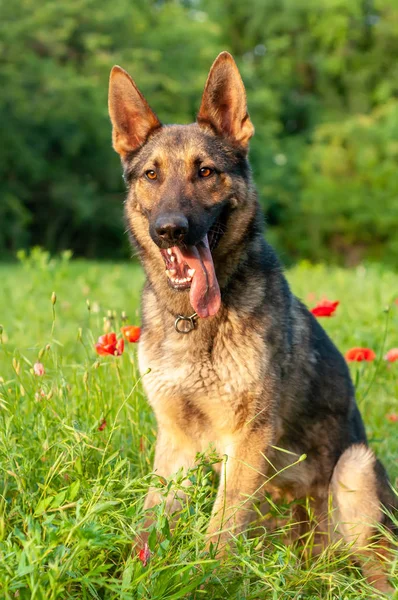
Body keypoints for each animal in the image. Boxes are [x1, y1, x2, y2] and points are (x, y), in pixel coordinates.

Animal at [108, 51, 394, 592]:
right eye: (152, 175)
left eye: (205, 171)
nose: (171, 229)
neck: (194, 323)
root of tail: (315, 564)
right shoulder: (175, 440)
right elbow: (150, 520)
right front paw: (133, 573)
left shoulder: (249, 437)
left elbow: (220, 529)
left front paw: (205, 581)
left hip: (356, 467)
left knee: (377, 573)